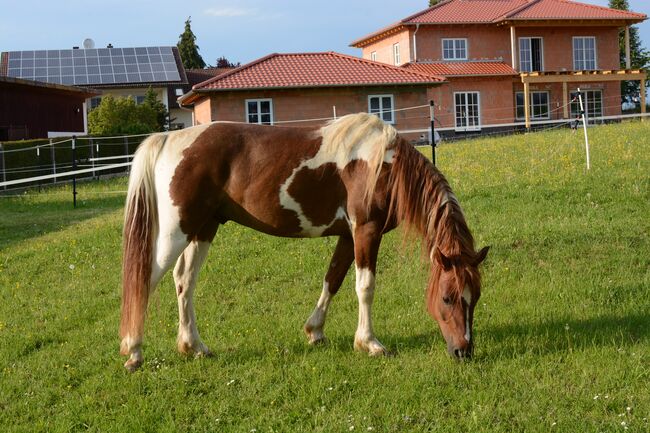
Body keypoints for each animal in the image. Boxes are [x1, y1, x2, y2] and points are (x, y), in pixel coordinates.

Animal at [120, 113, 486, 370]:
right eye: (448, 298)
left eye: (475, 298)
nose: (463, 351)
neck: (382, 165)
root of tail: (169, 138)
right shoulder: (365, 231)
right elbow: (365, 287)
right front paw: (369, 343)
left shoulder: (347, 236)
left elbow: (333, 280)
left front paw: (315, 331)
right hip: (176, 231)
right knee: (145, 280)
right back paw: (134, 351)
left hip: (203, 229)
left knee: (184, 280)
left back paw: (193, 347)